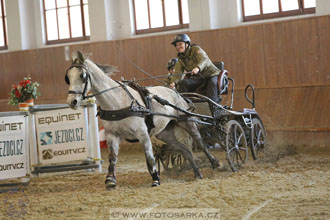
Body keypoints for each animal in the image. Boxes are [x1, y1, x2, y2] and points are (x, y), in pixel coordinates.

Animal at [65, 50, 220, 188]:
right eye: (68, 77)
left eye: (82, 75)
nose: (72, 101)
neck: (117, 102)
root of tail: (174, 91)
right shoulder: (112, 135)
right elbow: (112, 158)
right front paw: (110, 180)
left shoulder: (142, 133)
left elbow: (149, 157)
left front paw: (156, 179)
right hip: (165, 133)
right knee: (185, 150)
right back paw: (197, 173)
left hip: (186, 121)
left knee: (200, 142)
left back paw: (215, 163)